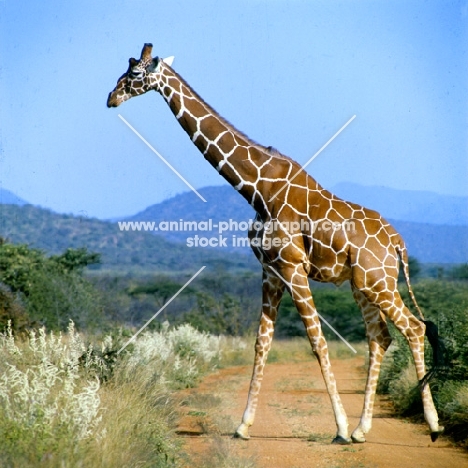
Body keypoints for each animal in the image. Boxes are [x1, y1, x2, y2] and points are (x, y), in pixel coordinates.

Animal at [108, 43, 444, 442]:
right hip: (362, 284)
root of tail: (397, 242)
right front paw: (243, 425)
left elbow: (317, 341)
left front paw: (339, 428)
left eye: (134, 74)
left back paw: (432, 424)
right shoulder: (270, 270)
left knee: (414, 328)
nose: (111, 98)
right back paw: (364, 428)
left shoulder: (292, 266)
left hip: (378, 282)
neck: (257, 188)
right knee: (380, 337)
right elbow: (262, 342)